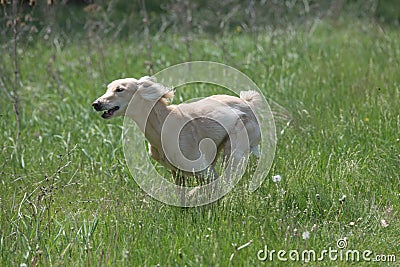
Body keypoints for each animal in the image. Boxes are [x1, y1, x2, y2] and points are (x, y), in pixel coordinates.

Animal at [93, 76, 262, 186]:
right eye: (108, 88)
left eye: (119, 89)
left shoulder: (204, 170)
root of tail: (246, 102)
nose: (96, 104)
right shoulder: (177, 173)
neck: (161, 124)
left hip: (233, 150)